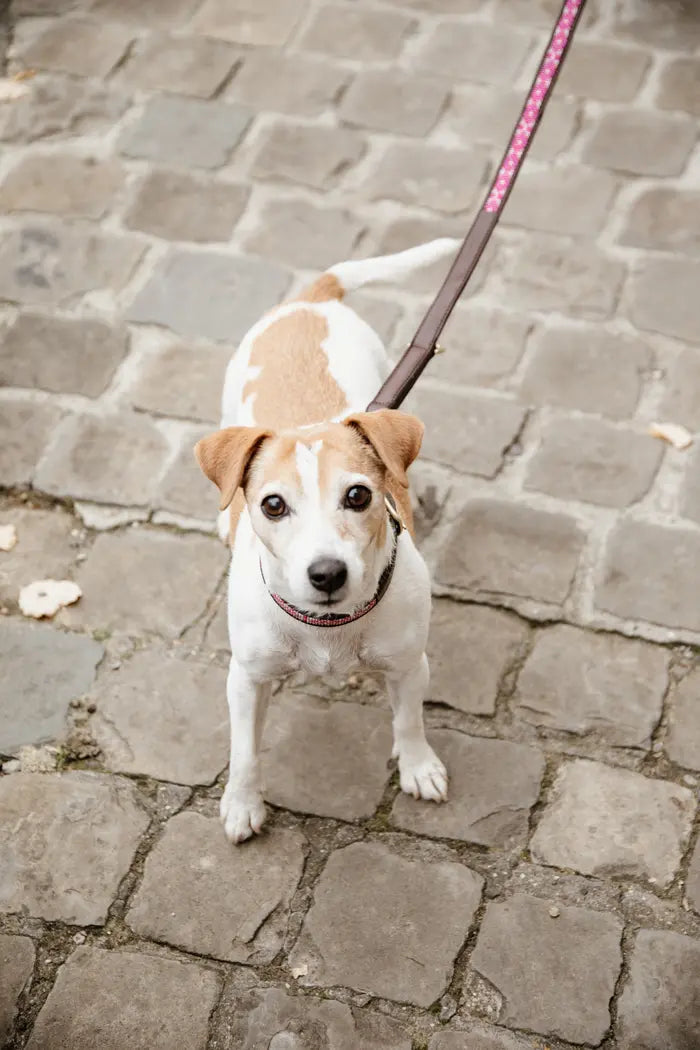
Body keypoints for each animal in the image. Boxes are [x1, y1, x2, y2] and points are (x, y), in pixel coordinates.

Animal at [197, 240, 459, 844]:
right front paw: (242, 802)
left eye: (359, 496)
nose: (327, 573)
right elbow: (245, 753)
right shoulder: (246, 679)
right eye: (273, 505)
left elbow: (409, 719)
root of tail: (314, 300)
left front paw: (418, 766)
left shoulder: (410, 665)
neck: (328, 627)